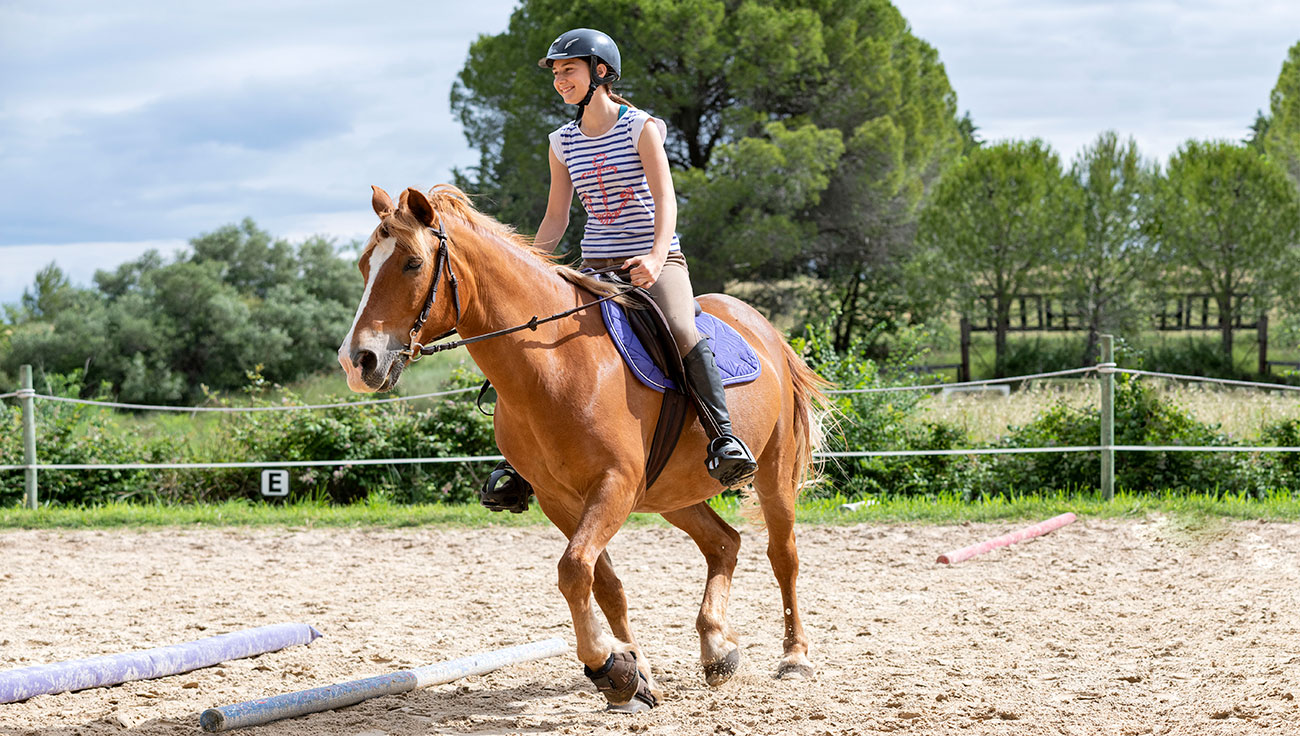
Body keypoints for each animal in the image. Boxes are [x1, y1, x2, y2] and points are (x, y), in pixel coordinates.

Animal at [340, 185, 826, 707]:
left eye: (412, 263)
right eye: (365, 266)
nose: (357, 361)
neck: (554, 364)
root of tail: (760, 324)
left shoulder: (614, 484)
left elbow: (574, 570)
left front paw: (607, 665)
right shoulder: (560, 497)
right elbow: (603, 582)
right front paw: (633, 672)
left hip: (770, 474)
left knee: (783, 556)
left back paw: (795, 657)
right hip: (671, 492)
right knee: (724, 543)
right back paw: (718, 649)